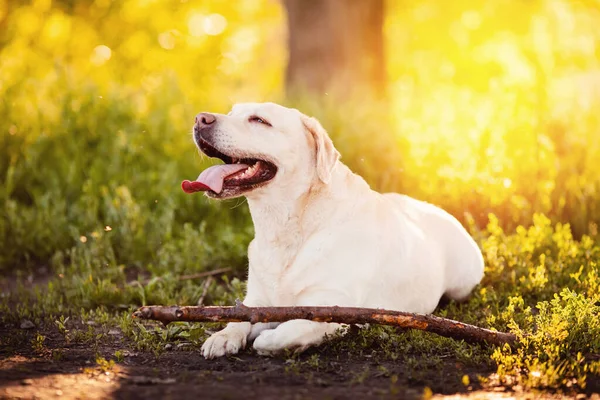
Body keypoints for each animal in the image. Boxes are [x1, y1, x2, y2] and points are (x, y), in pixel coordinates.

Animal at [182, 101, 482, 358]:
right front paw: (223, 337)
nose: (200, 119)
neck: (286, 227)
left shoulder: (337, 309)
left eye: (259, 120)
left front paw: (269, 340)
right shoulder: (257, 300)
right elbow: (238, 317)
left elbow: (295, 328)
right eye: (232, 112)